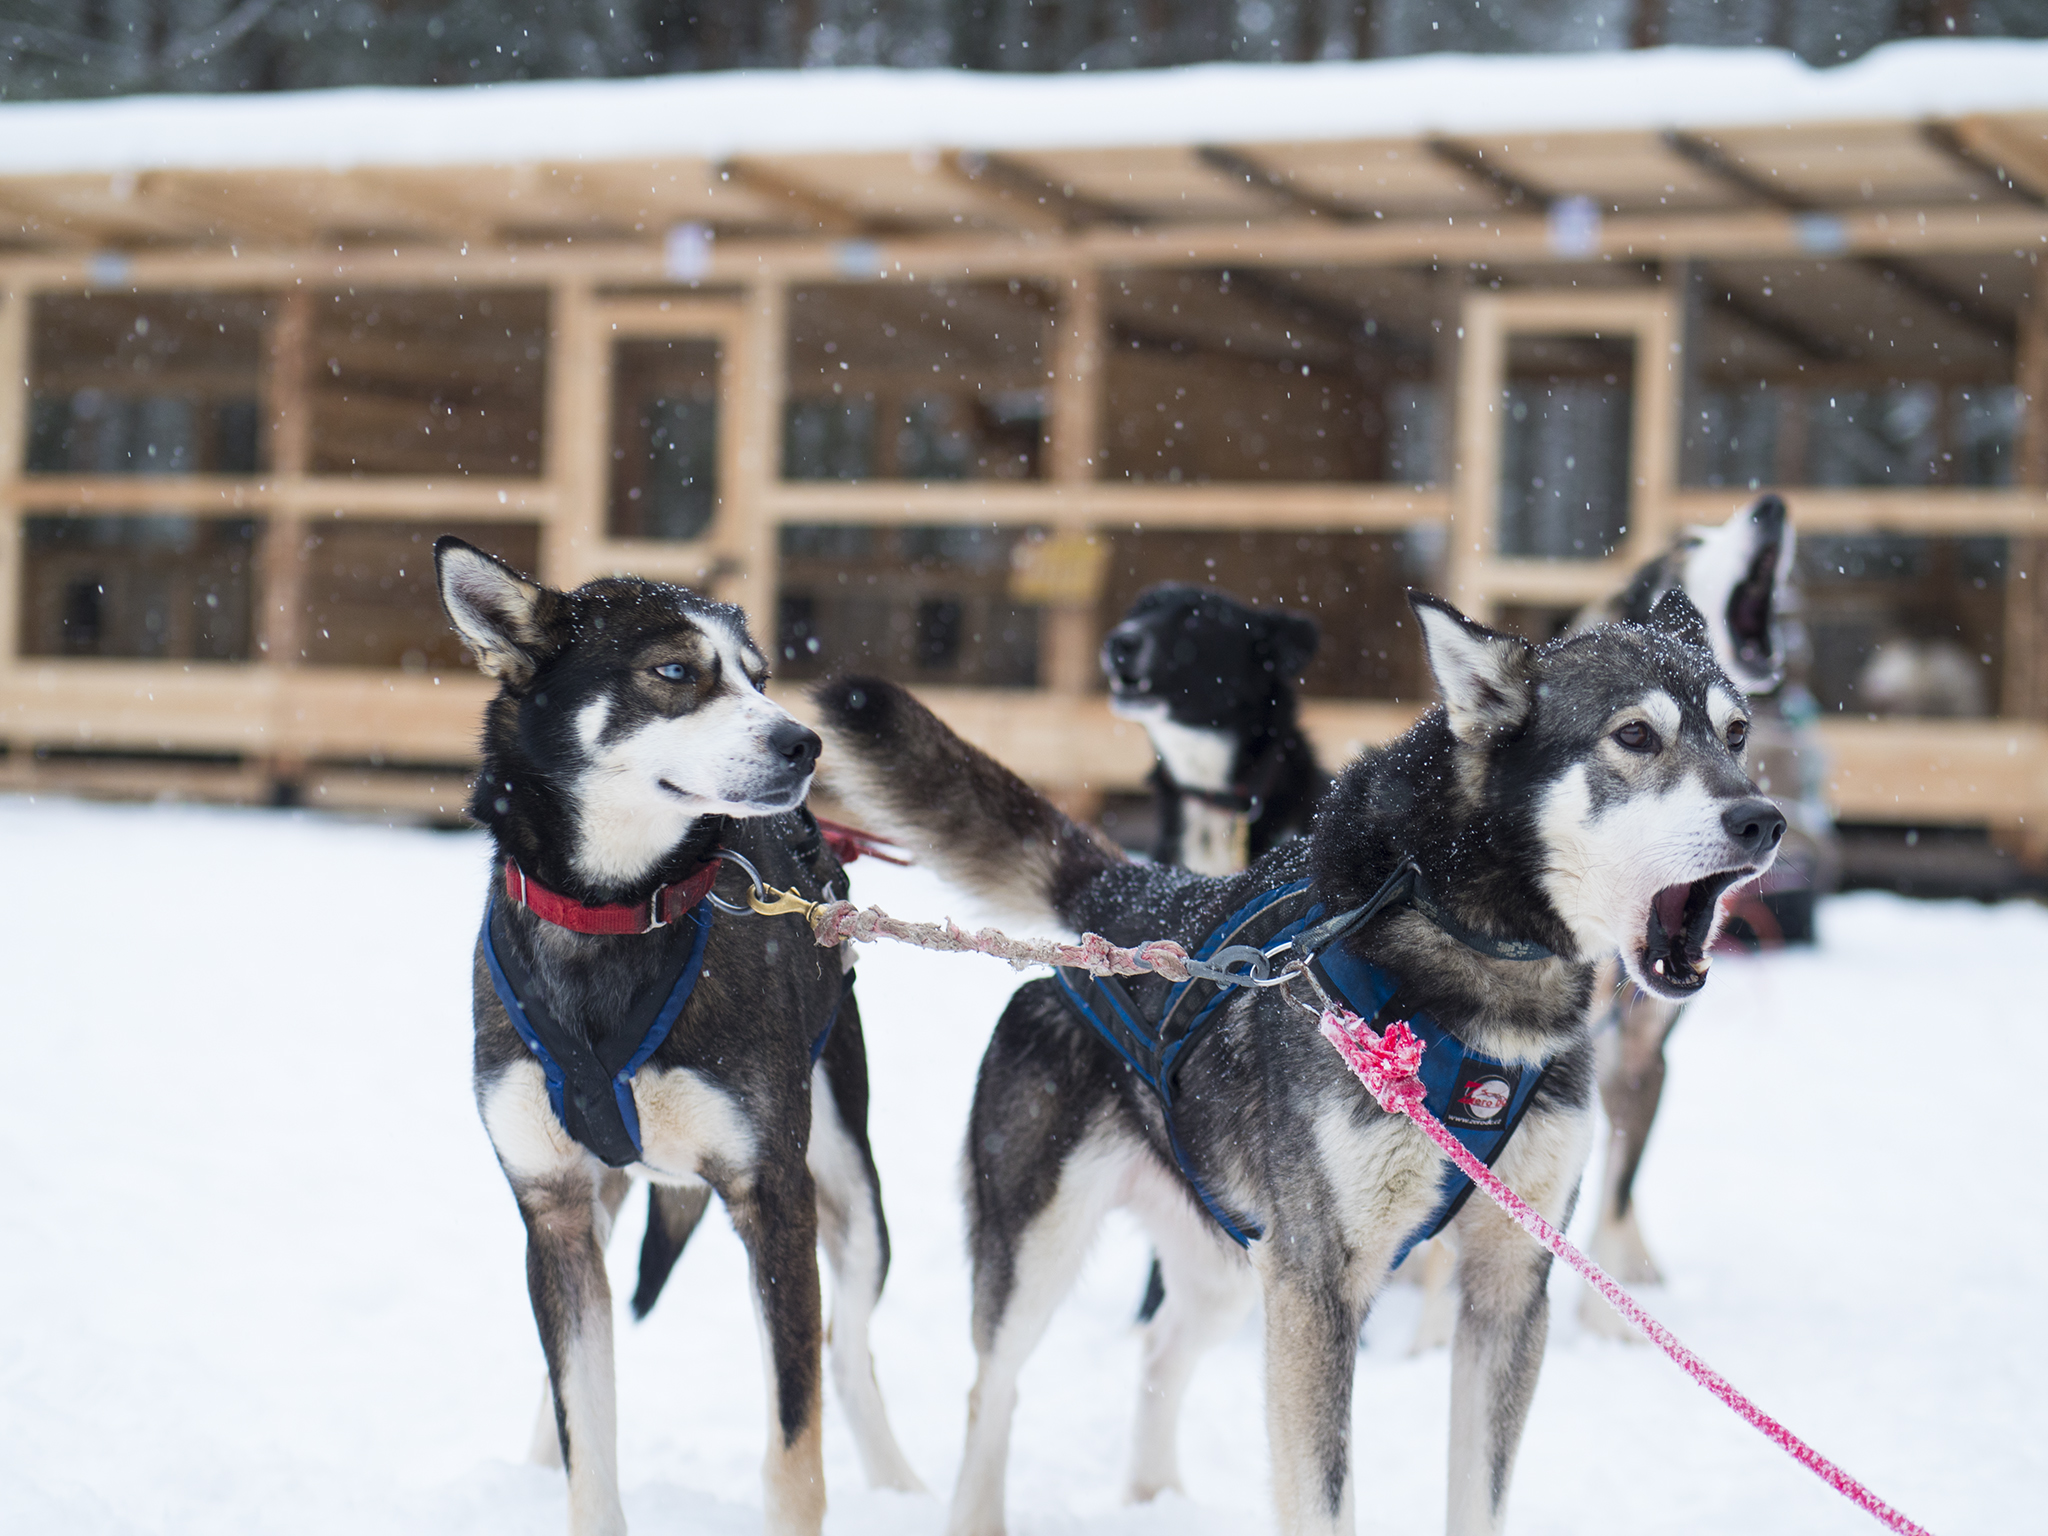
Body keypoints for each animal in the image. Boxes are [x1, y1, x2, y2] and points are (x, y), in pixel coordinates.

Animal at [438, 540, 921, 1536]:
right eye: (672, 672)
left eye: (759, 677)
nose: (803, 741)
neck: (618, 911)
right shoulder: (550, 1203)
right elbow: (586, 1424)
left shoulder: (774, 1196)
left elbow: (794, 1444)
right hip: (602, 1198)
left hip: (850, 1187)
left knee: (849, 1350)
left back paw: (902, 1488)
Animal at [815, 593, 1777, 1536]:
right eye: (1636, 735)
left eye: (1737, 735)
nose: (1763, 820)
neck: (1486, 982)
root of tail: (1134, 898)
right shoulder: (1319, 1283)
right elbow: (1322, 1495)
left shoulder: (1507, 1283)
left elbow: (1481, 1495)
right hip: (1044, 1246)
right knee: (993, 1390)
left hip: (1230, 1262)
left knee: (1159, 1350)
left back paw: (1156, 1499)